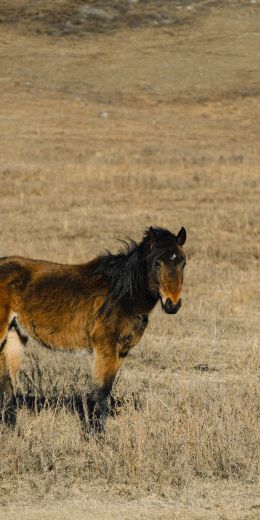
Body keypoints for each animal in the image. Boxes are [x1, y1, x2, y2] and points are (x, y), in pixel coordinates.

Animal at [0, 224, 187, 430]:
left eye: (183, 263)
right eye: (157, 263)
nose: (173, 305)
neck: (122, 295)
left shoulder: (121, 351)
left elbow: (106, 389)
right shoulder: (105, 347)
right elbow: (101, 392)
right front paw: (97, 434)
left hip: (14, 335)